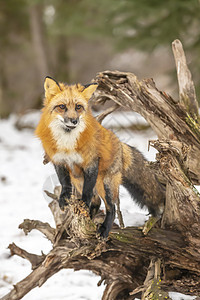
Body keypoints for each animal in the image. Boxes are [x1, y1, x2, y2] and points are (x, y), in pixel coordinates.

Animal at [36, 77, 166, 239]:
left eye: (78, 107)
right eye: (62, 107)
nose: (74, 121)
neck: (68, 144)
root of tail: (119, 143)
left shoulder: (91, 163)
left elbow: (87, 194)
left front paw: (83, 204)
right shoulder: (59, 161)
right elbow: (64, 183)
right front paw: (64, 199)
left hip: (106, 184)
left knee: (112, 207)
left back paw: (104, 229)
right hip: (79, 180)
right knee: (97, 202)